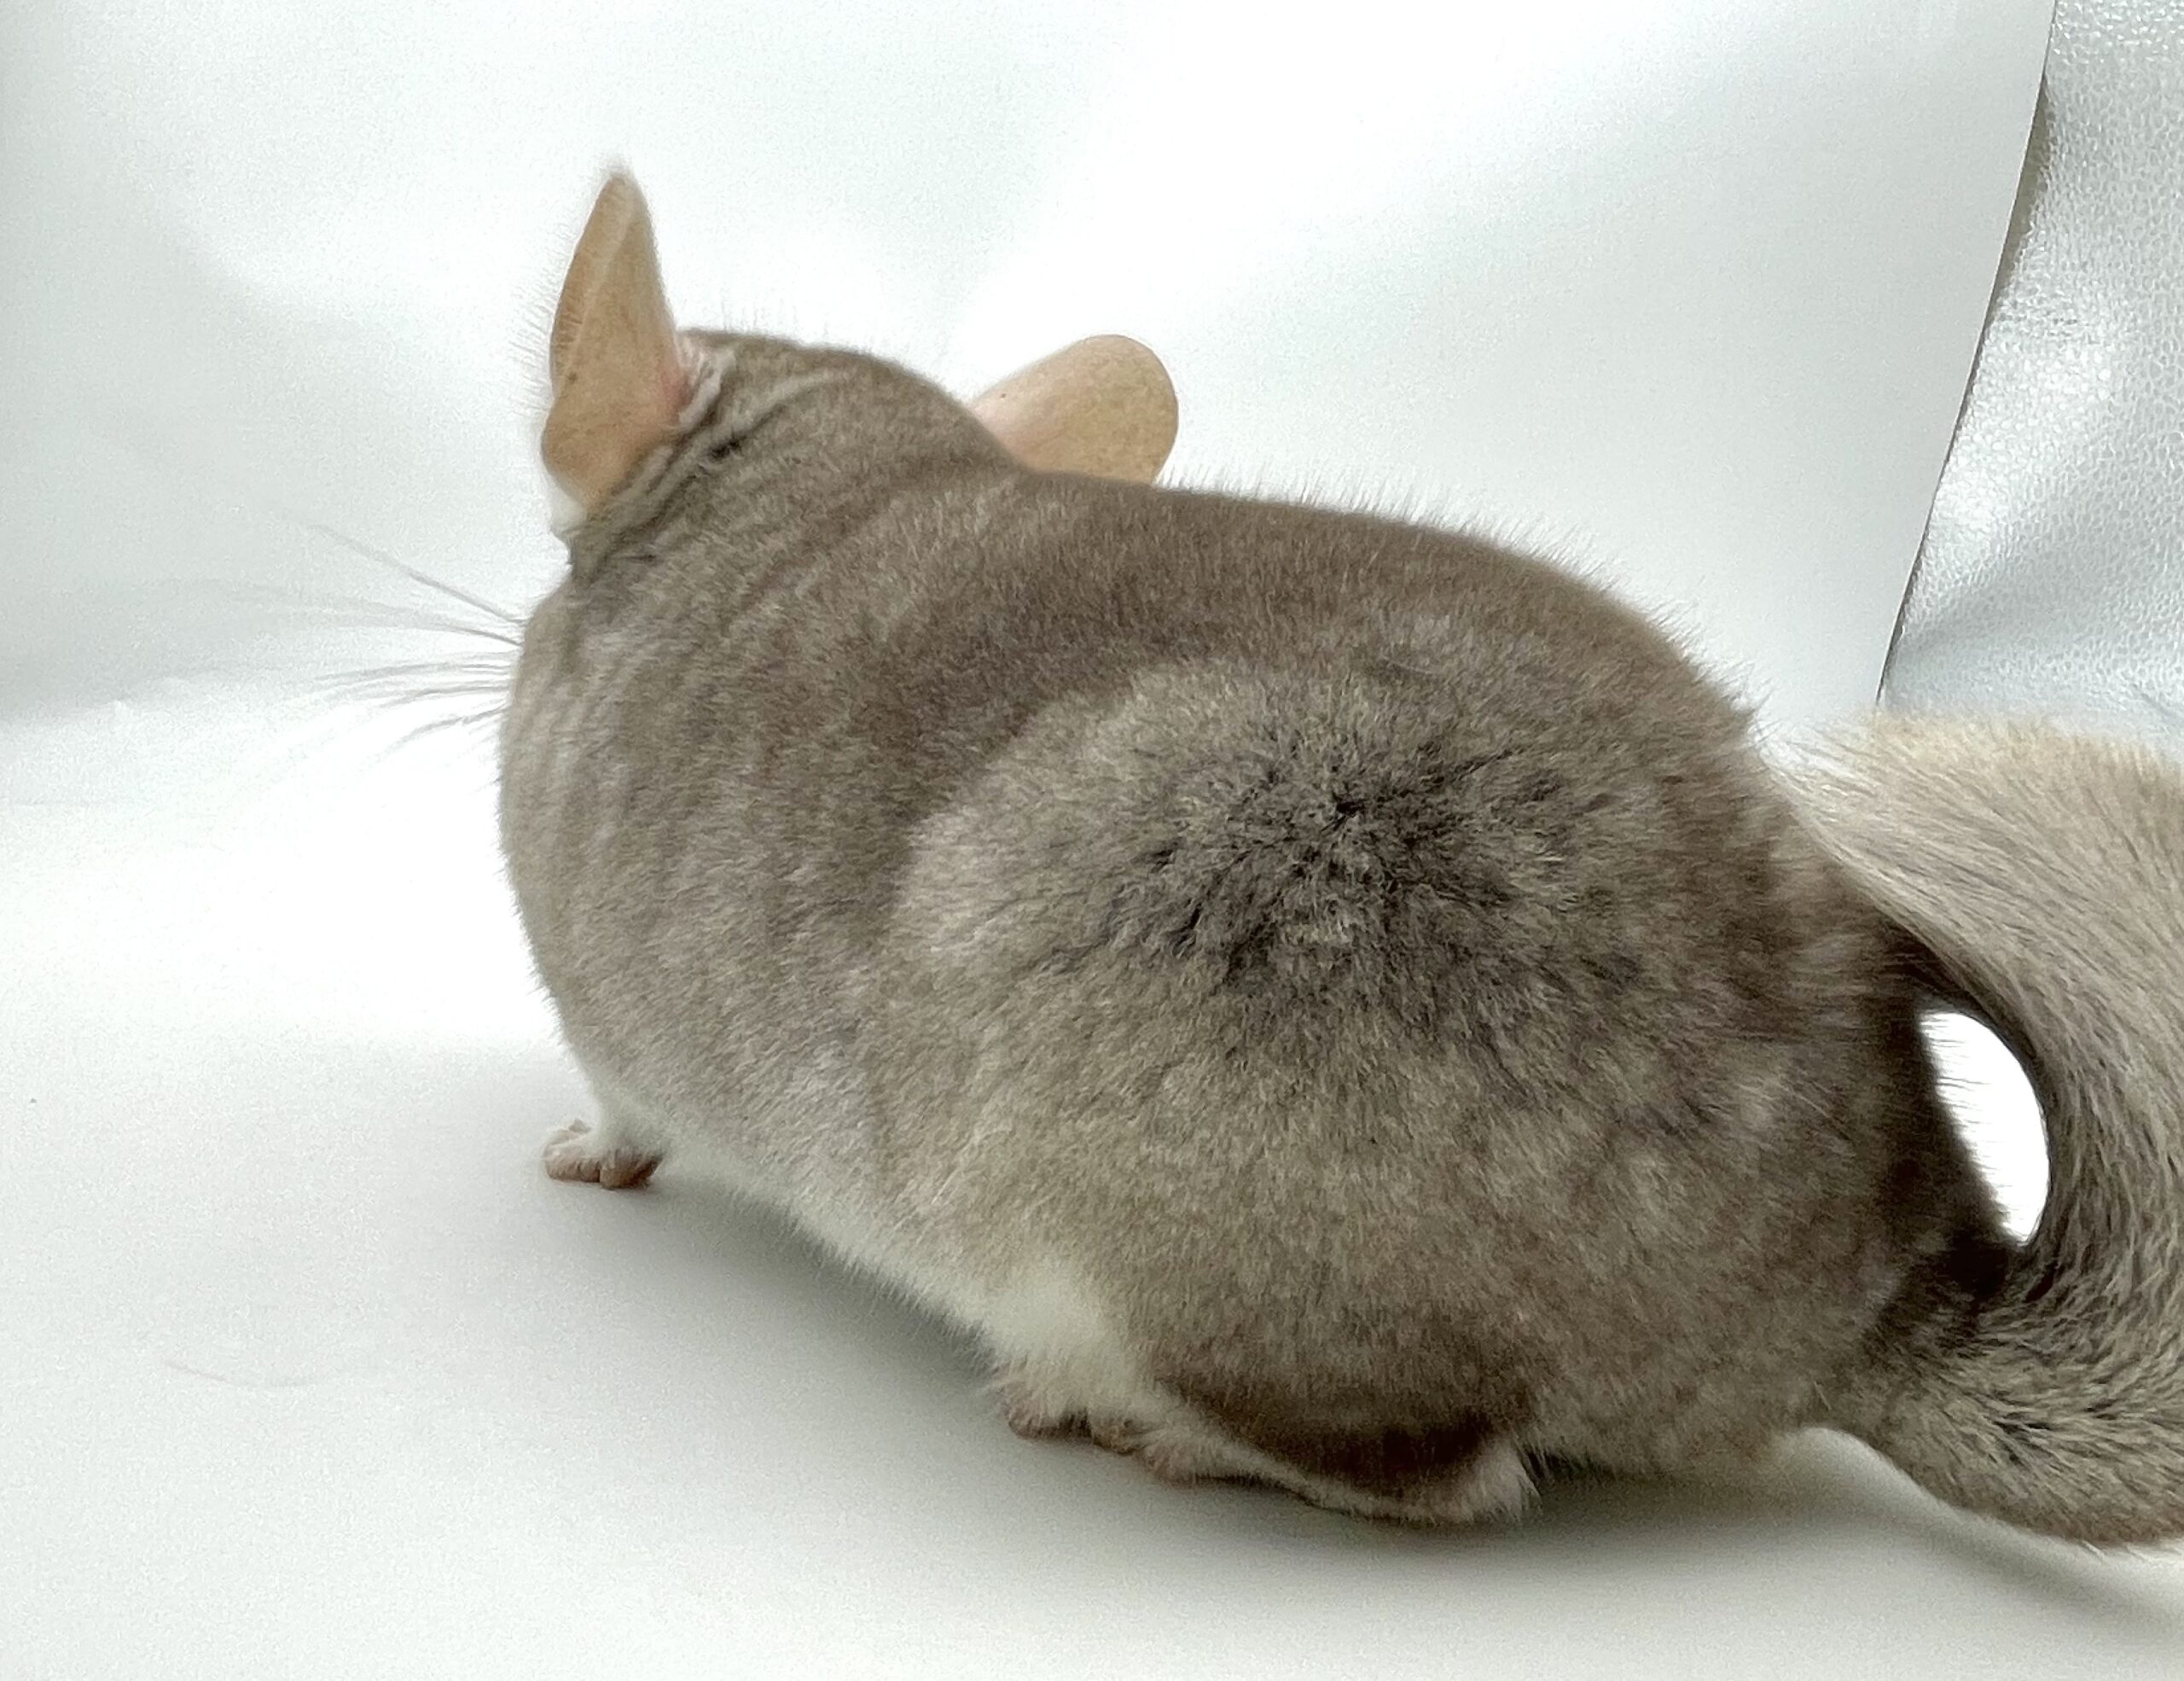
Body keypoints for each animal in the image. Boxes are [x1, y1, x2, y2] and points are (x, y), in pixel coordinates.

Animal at [499, 172, 2184, 1542]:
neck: (813, 493)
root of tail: (1875, 1279)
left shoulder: (610, 1039)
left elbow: (623, 1118)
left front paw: (572, 1163)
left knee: (1447, 1475)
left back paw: (1124, 1422)